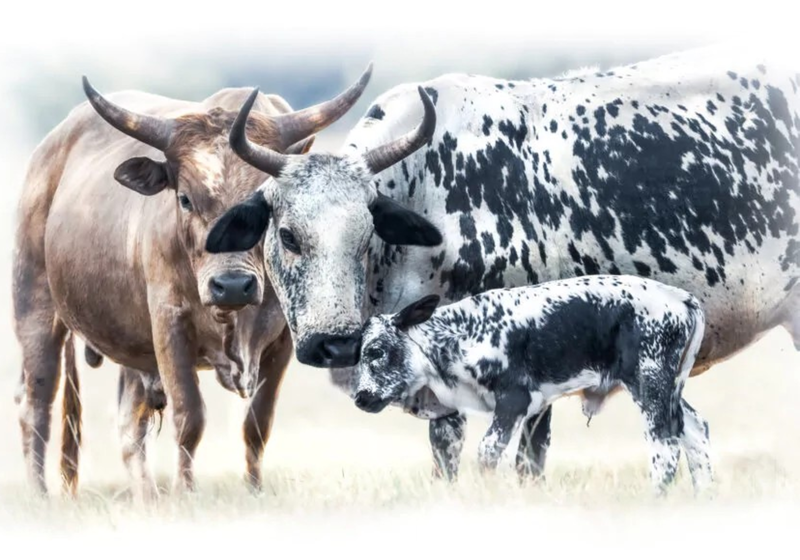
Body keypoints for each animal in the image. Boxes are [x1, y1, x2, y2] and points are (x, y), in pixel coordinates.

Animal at [12, 66, 372, 499]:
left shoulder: (285, 338)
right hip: (35, 309)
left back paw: (147, 497)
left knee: (129, 425)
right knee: (36, 403)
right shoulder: (169, 324)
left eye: (262, 204)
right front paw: (185, 492)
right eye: (185, 198)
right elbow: (189, 417)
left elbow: (257, 423)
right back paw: (39, 493)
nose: (232, 285)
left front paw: (254, 490)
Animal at [352, 275, 710, 494]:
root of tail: (682, 298)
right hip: (669, 391)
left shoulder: (514, 400)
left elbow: (488, 451)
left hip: (650, 383)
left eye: (376, 351)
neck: (465, 332)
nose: (360, 397)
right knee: (695, 431)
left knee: (665, 446)